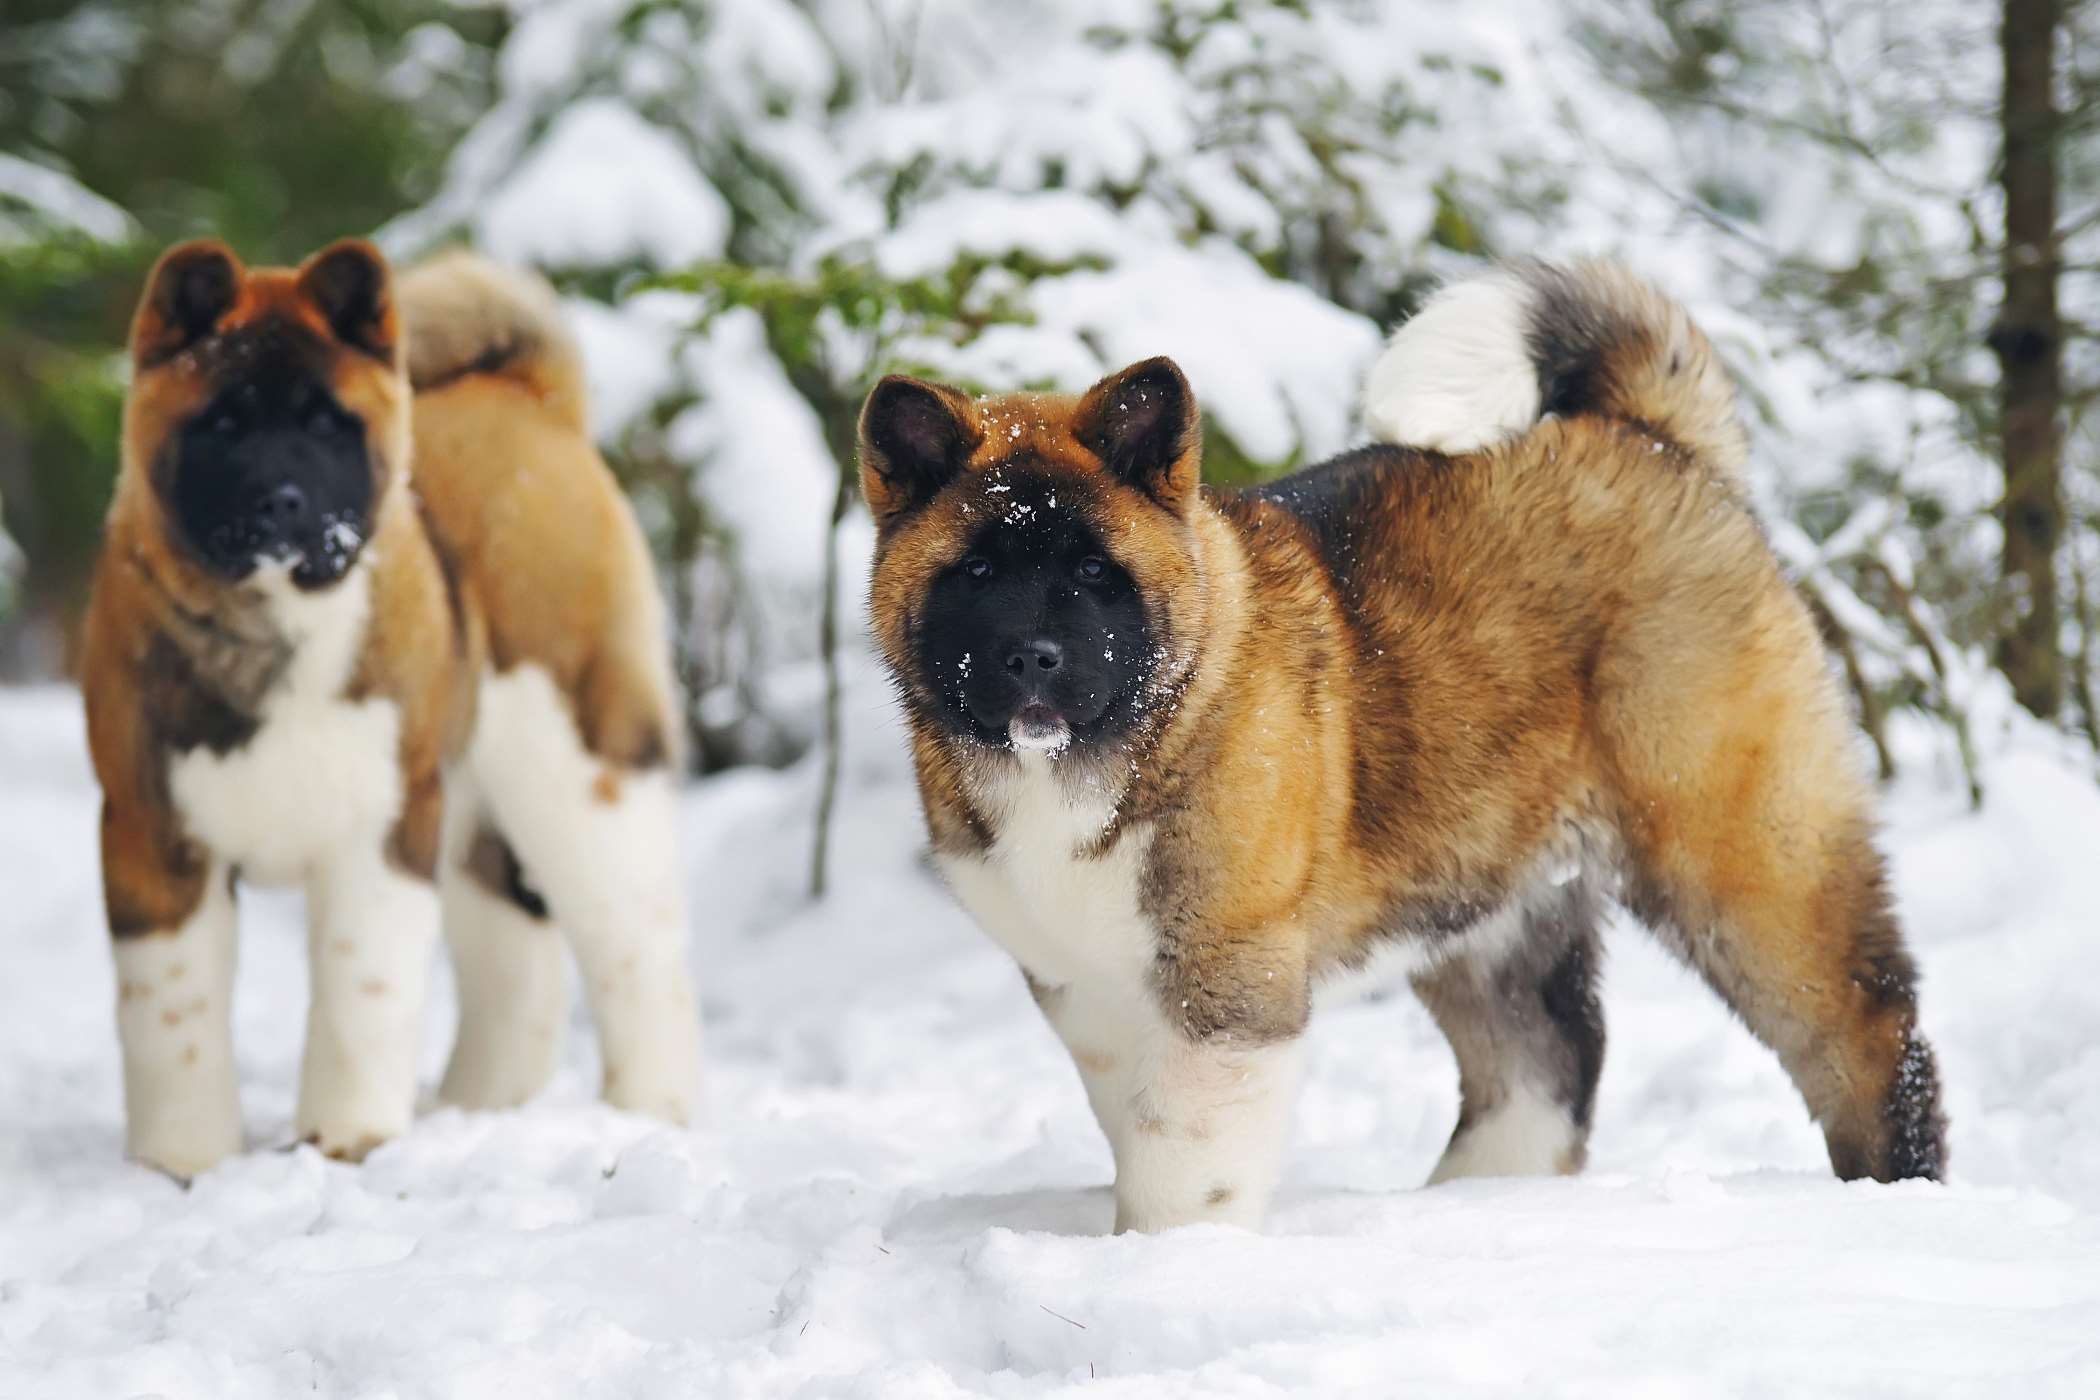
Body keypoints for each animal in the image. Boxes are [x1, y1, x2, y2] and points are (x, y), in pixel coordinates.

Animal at [84, 241, 705, 1183]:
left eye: (327, 426)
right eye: (223, 424)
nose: (282, 501)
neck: (273, 626)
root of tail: (532, 398)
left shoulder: (379, 826)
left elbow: (362, 985)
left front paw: (348, 1139)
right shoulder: (152, 833)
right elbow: (171, 1011)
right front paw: (179, 1163)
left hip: (579, 767)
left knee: (636, 942)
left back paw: (649, 1111)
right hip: (467, 809)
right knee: (516, 957)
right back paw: (480, 1108)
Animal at [860, 260, 1940, 1225]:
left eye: (1093, 571)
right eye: (977, 570)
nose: (1032, 659)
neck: (1116, 742)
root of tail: (1653, 441)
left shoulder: (1227, 986)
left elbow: (1186, 1168)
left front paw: (1165, 1268)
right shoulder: (1086, 990)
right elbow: (1139, 1132)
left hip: (1742, 852)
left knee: (1869, 1036)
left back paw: (1896, 1197)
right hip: (1490, 881)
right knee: (1546, 1061)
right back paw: (1472, 1207)